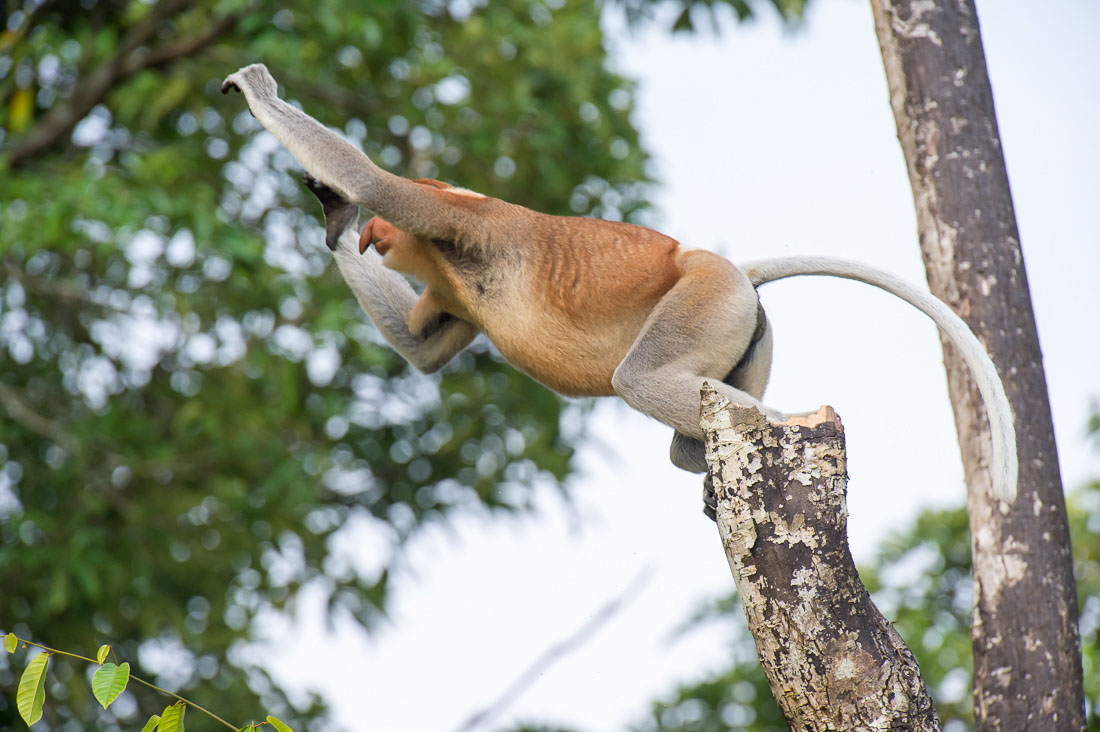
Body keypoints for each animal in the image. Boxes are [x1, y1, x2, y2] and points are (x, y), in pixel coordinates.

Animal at [223, 64, 1020, 501]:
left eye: (391, 230)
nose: (373, 238)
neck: (442, 260)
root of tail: (721, 263)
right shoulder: (448, 295)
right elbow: (423, 350)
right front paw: (334, 214)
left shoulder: (454, 218)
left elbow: (373, 178)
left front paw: (263, 97)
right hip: (744, 322)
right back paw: (702, 455)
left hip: (701, 301)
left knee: (641, 378)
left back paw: (787, 423)